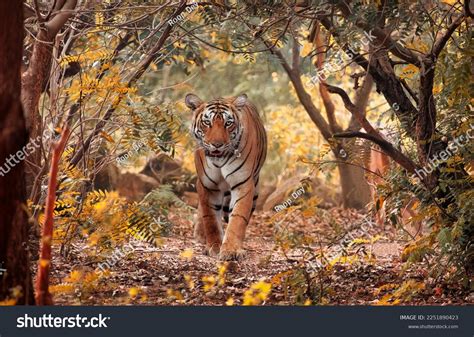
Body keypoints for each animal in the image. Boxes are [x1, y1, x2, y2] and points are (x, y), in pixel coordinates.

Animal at [185, 92, 266, 260]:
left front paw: (231, 250)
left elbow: (238, 218)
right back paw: (200, 235)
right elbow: (210, 219)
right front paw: (214, 246)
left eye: (228, 123)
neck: (220, 160)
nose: (217, 144)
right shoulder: (207, 185)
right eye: (207, 122)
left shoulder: (243, 184)